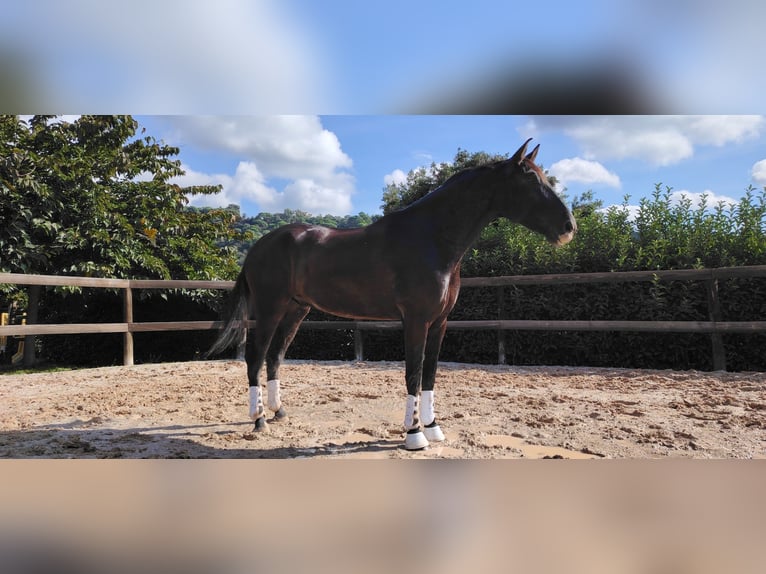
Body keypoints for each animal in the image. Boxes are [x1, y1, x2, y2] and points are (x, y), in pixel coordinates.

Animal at [208, 138, 576, 450]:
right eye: (531, 180)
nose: (568, 227)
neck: (432, 239)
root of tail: (260, 246)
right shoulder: (415, 320)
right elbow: (413, 372)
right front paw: (414, 435)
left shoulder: (440, 323)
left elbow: (430, 373)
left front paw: (433, 428)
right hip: (270, 308)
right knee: (256, 357)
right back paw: (258, 421)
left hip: (297, 309)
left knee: (275, 356)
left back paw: (278, 412)